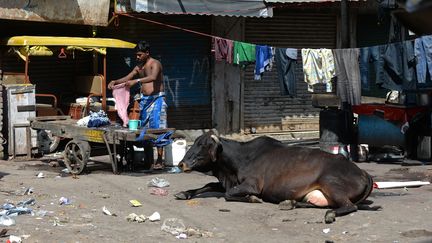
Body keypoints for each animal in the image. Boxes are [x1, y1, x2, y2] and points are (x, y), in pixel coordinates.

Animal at [174, 132, 380, 223]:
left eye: (202, 145)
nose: (181, 164)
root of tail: (363, 172)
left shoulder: (252, 185)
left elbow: (229, 194)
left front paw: (252, 199)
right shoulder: (227, 182)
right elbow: (209, 185)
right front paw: (184, 193)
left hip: (331, 183)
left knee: (349, 206)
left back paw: (329, 214)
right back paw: (289, 203)